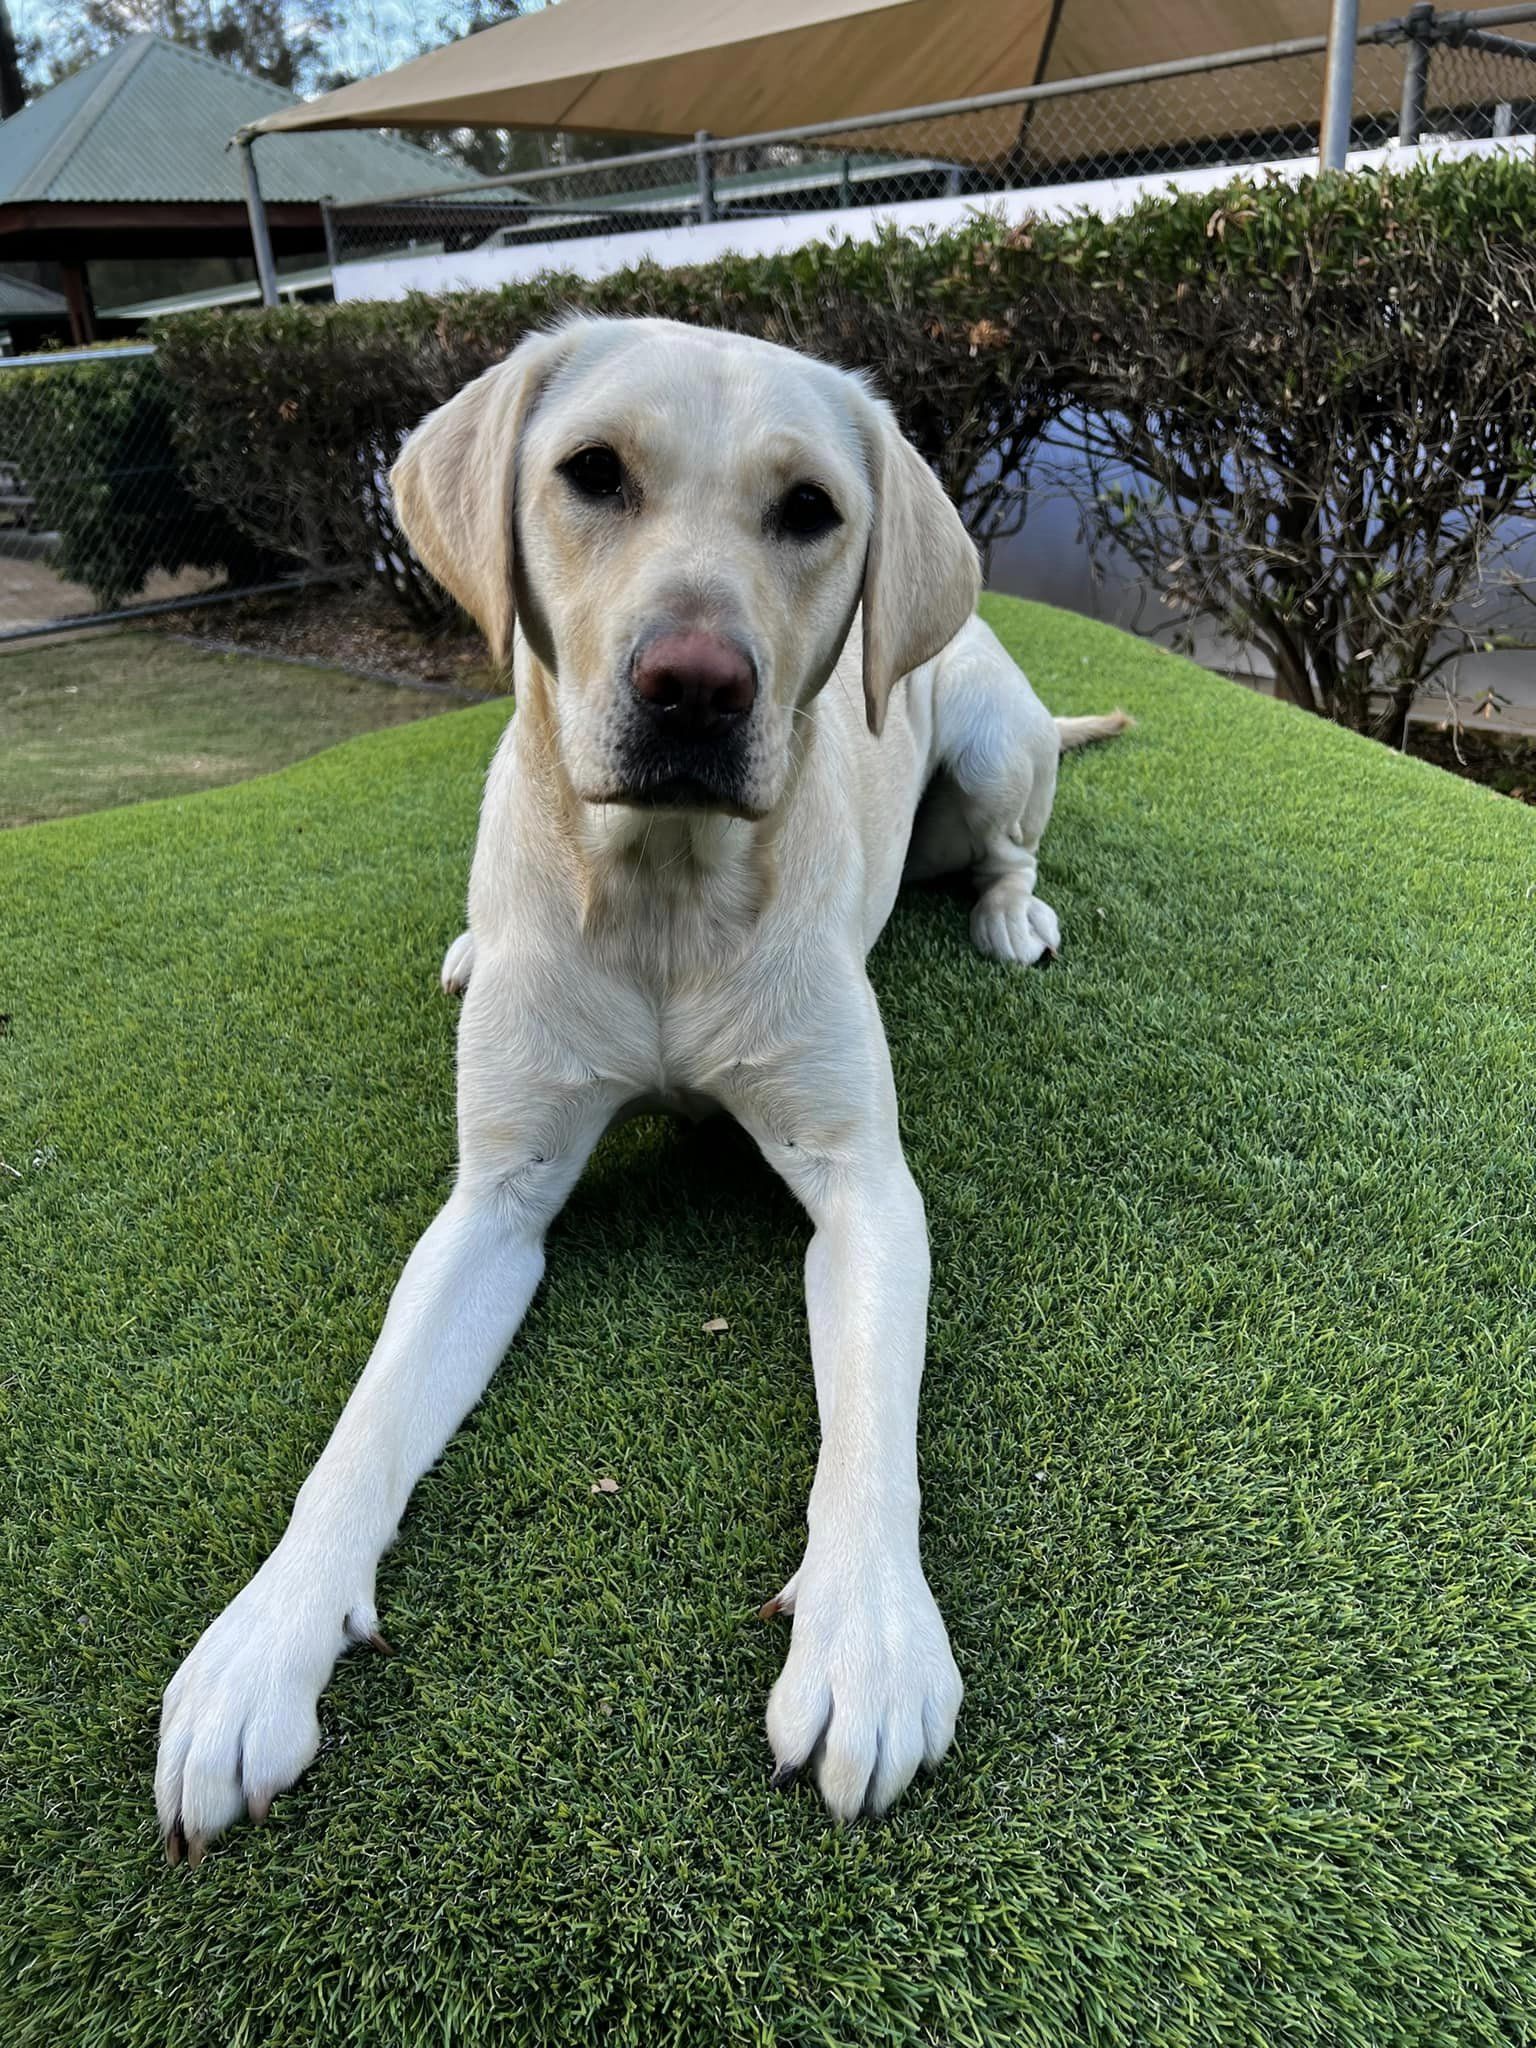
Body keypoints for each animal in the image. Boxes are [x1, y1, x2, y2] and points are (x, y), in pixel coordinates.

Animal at [156, 311, 1122, 1867]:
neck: (666, 894)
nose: (696, 685)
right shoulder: (491, 1205)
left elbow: (872, 1424)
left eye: (811, 510)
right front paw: (261, 1643)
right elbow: (362, 1427)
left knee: (1010, 837)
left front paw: (868, 1635)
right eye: (592, 472)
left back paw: (1009, 913)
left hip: (992, 737)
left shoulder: (864, 1185)